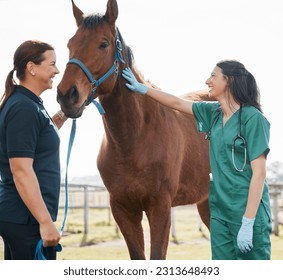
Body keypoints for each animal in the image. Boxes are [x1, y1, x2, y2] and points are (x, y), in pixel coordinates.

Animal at [57, 0, 211, 260]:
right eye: (70, 44)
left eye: (104, 43)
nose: (67, 95)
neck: (133, 141)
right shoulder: (123, 209)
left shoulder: (160, 208)